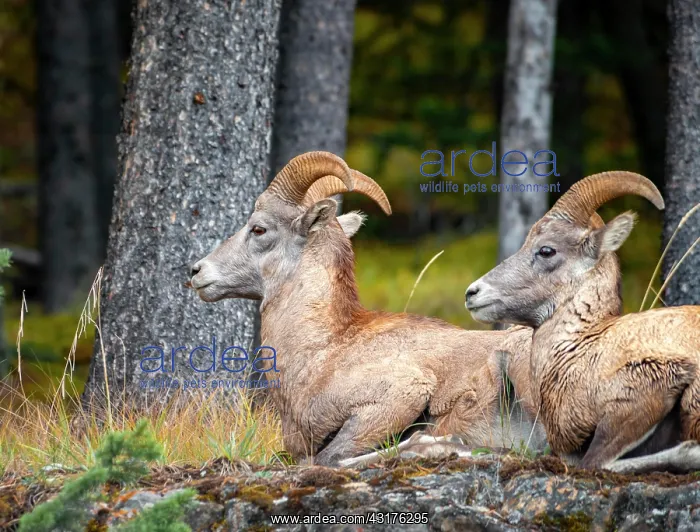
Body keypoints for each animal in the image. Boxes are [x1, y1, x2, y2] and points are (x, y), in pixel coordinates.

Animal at [190, 150, 545, 466]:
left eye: (259, 229)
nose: (197, 271)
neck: (322, 352)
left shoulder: (399, 395)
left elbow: (329, 458)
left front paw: (432, 446)